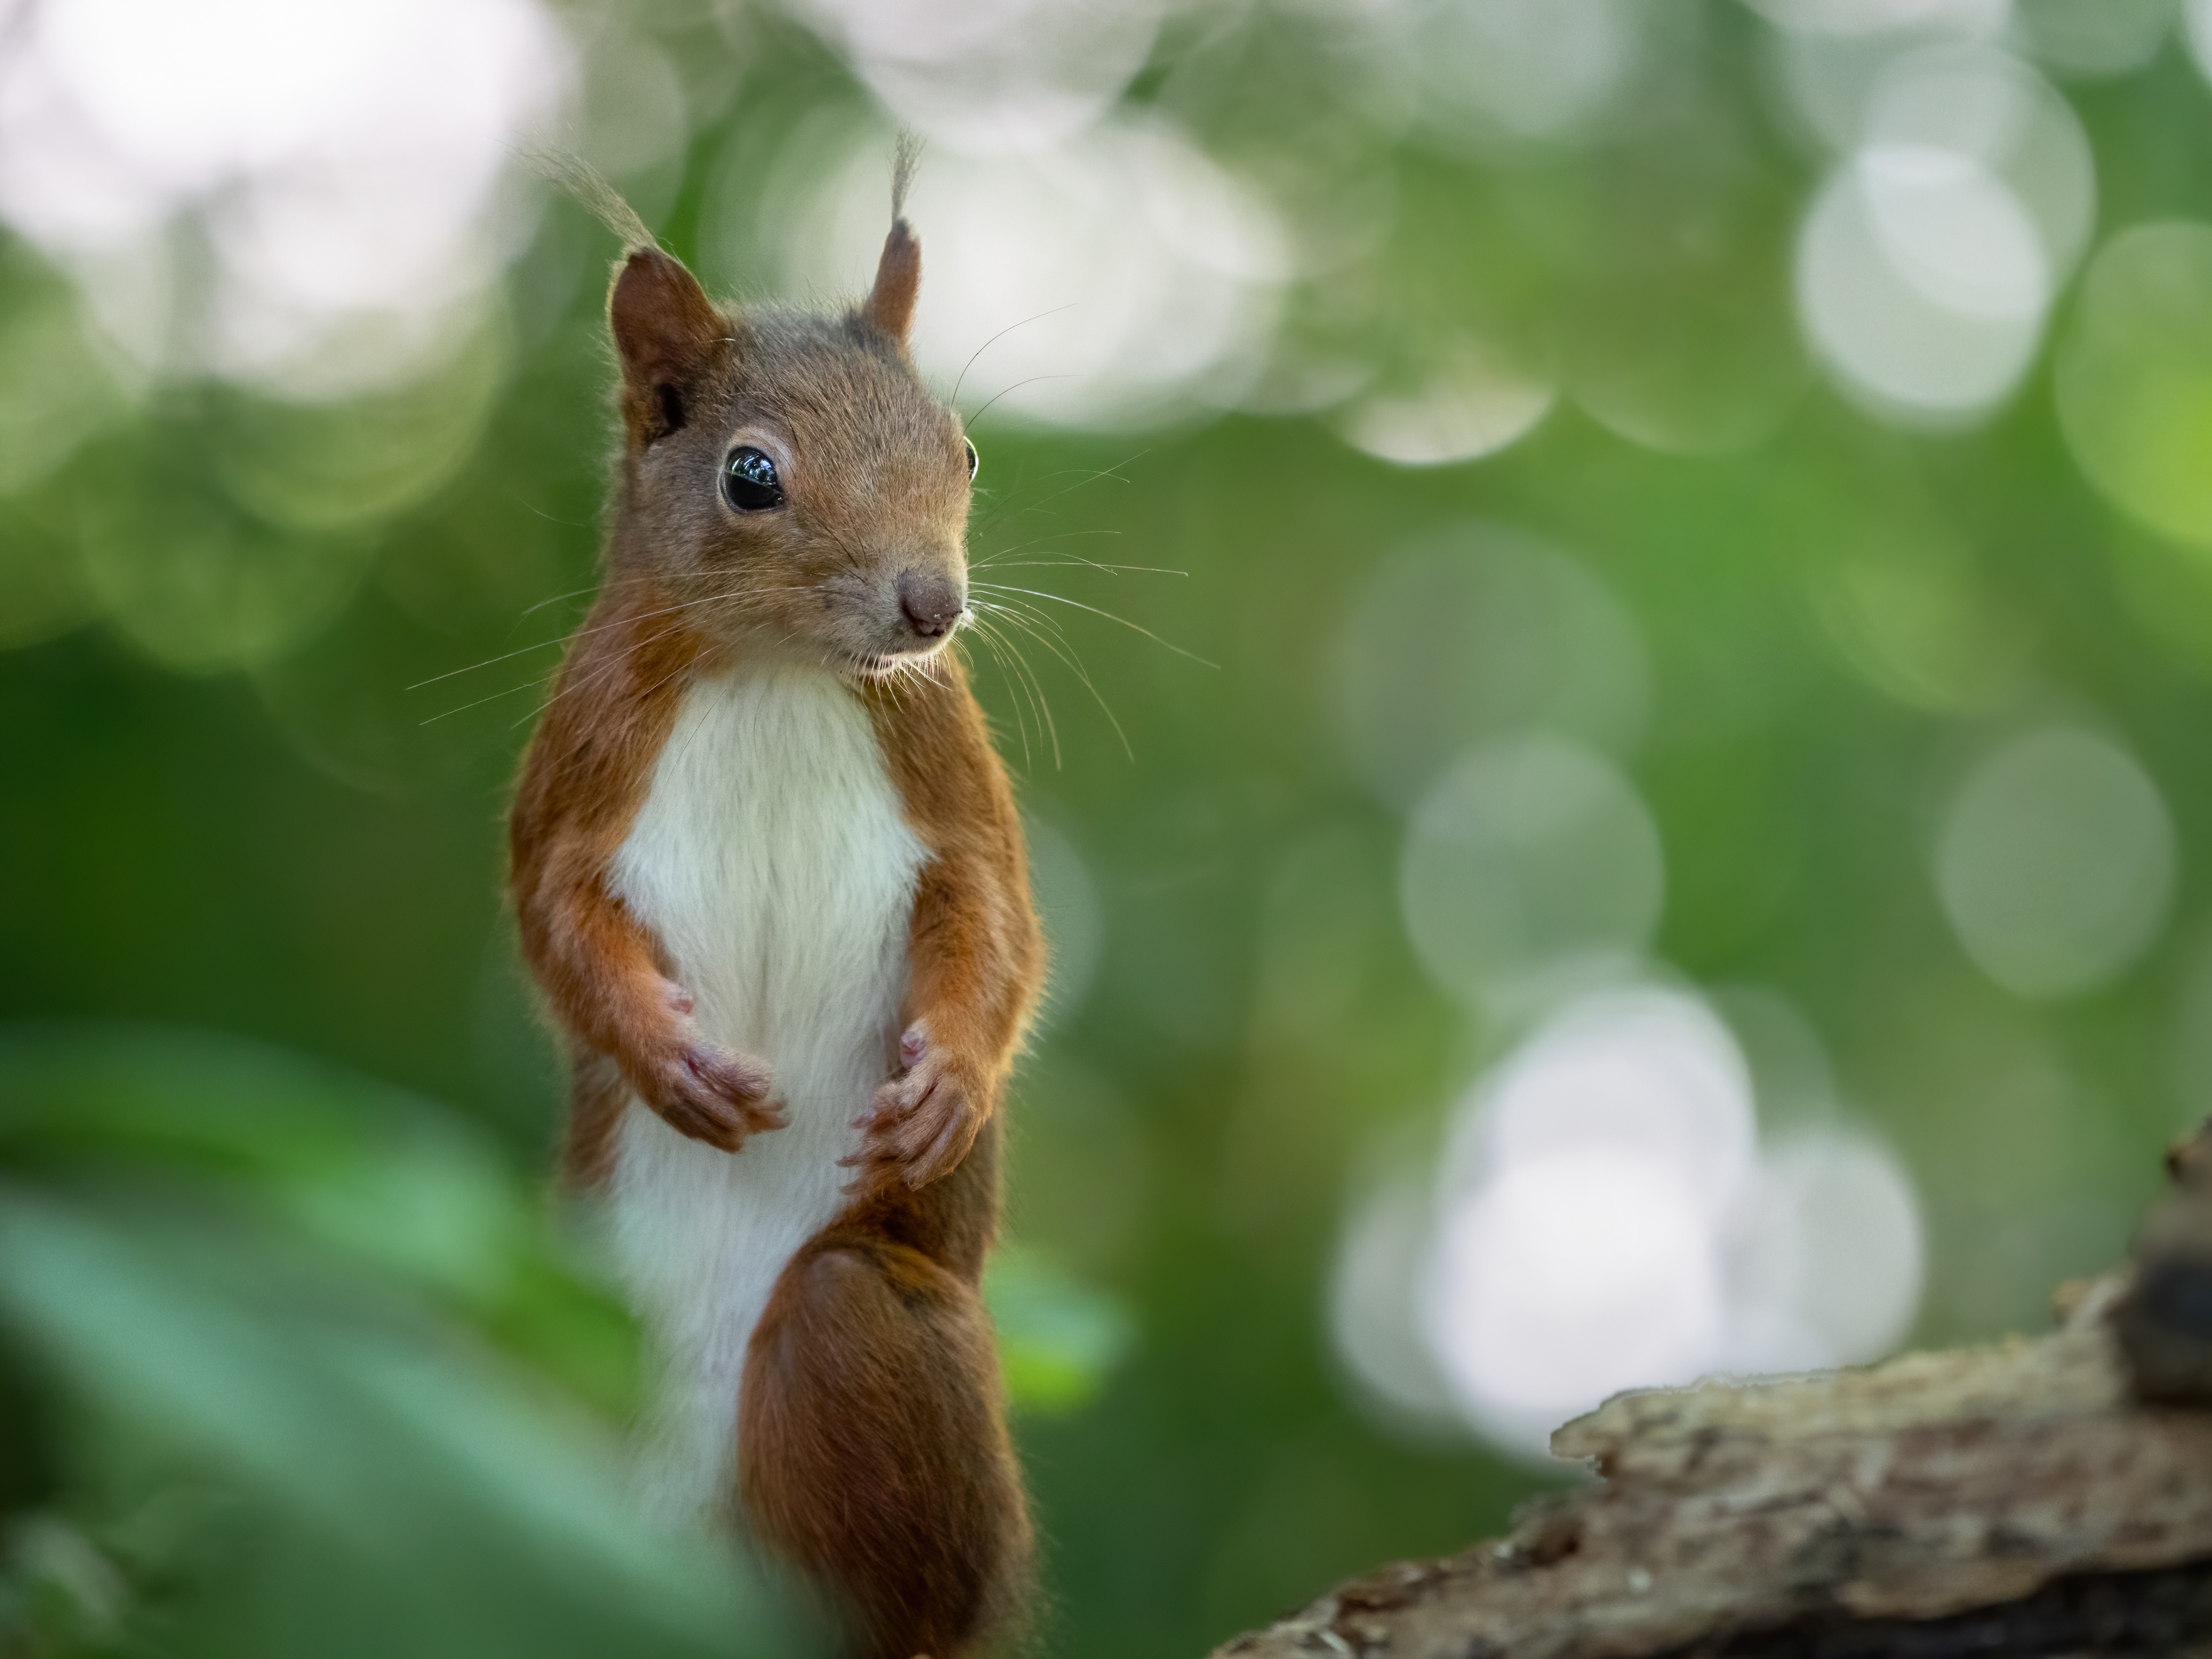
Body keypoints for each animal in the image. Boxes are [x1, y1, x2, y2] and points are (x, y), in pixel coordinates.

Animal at [509, 159, 1044, 1659]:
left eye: (963, 453)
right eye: (751, 475)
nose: (933, 606)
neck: (777, 671)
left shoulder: (945, 767)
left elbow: (998, 922)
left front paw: (948, 1083)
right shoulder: (580, 765)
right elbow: (552, 918)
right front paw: (667, 1057)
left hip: (868, 1335)